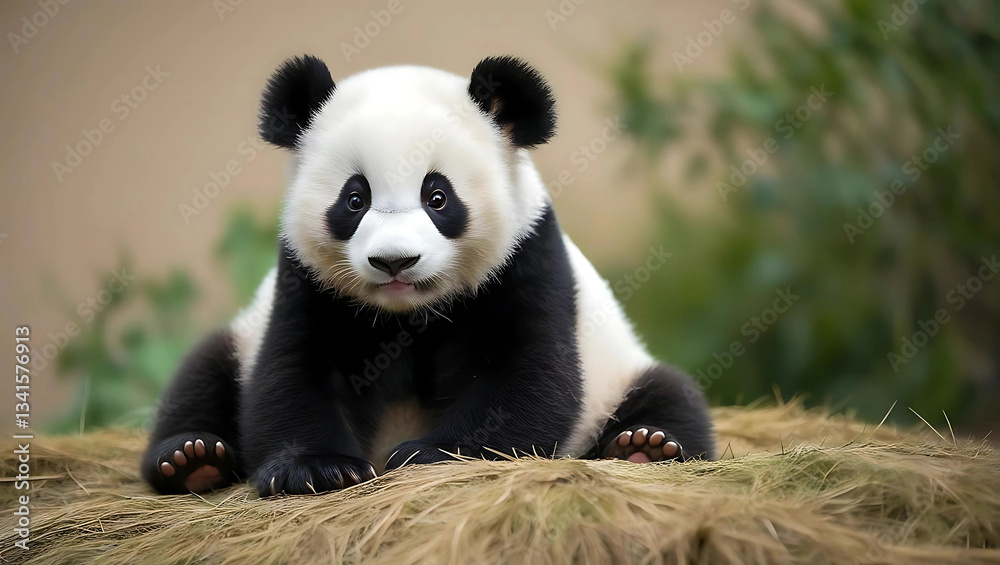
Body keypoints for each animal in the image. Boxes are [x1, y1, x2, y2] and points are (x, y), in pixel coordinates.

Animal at [142, 55, 714, 496]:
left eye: (437, 196)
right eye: (355, 198)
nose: (395, 261)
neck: (407, 312)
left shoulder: (528, 256)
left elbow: (528, 374)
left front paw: (431, 455)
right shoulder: (305, 280)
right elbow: (291, 370)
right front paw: (314, 470)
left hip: (617, 369)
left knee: (671, 392)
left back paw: (645, 446)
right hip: (239, 337)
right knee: (202, 372)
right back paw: (193, 459)